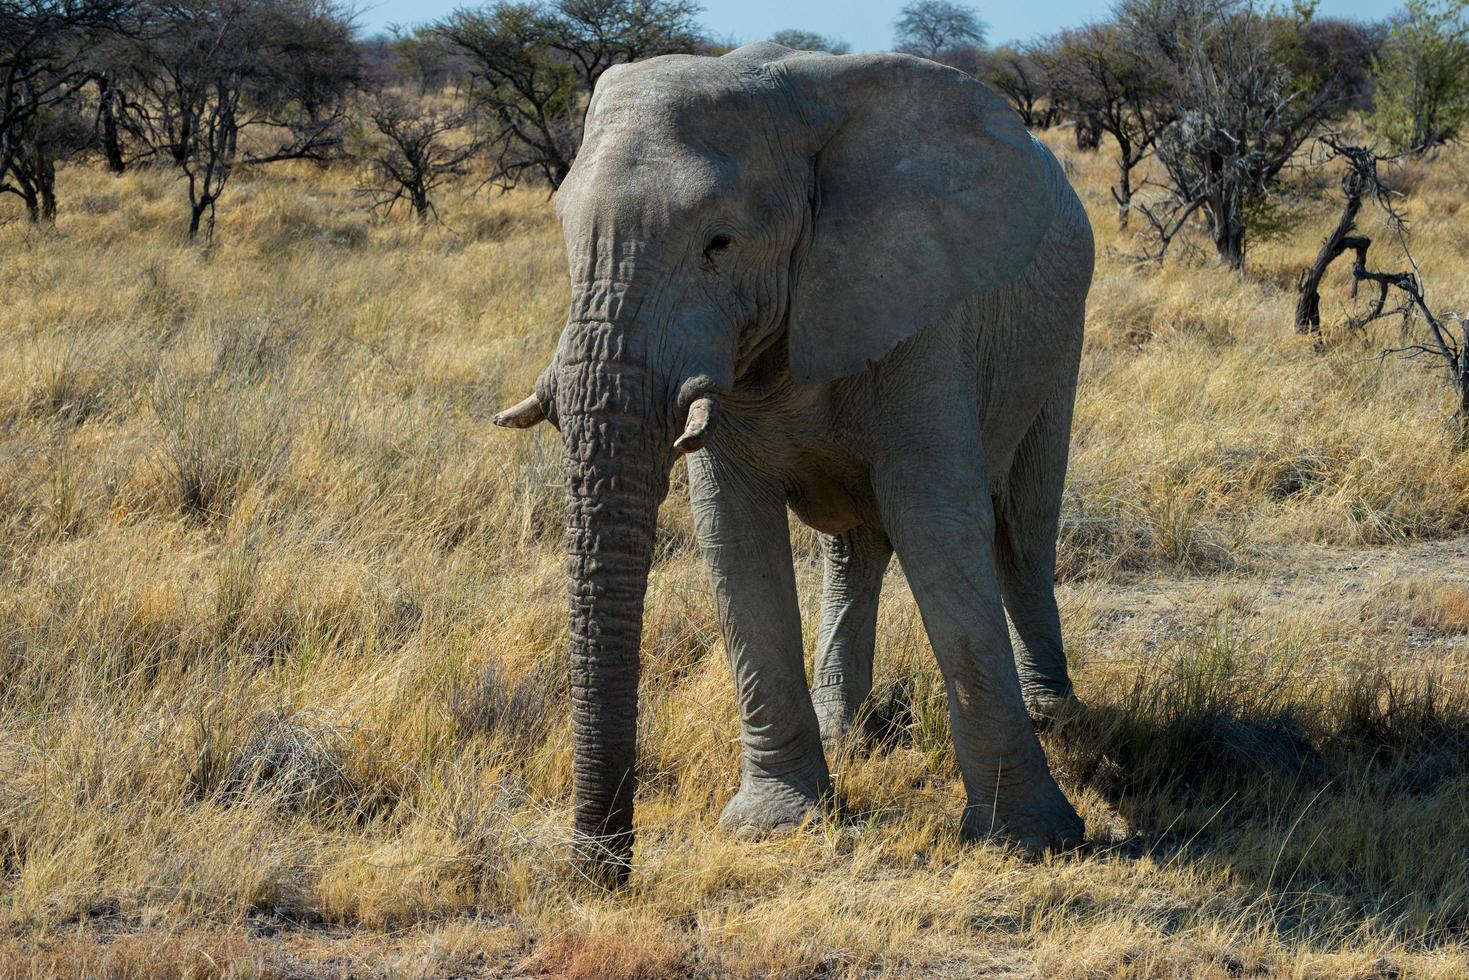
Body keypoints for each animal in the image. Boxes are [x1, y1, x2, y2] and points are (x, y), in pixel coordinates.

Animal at [499, 42, 1098, 887]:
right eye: (561, 232)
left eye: (718, 244)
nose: (600, 871)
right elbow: (734, 538)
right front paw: (778, 824)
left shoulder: (921, 304)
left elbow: (939, 527)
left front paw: (1030, 841)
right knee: (856, 544)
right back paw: (846, 730)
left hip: (1058, 333)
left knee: (1022, 525)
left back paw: (1055, 714)